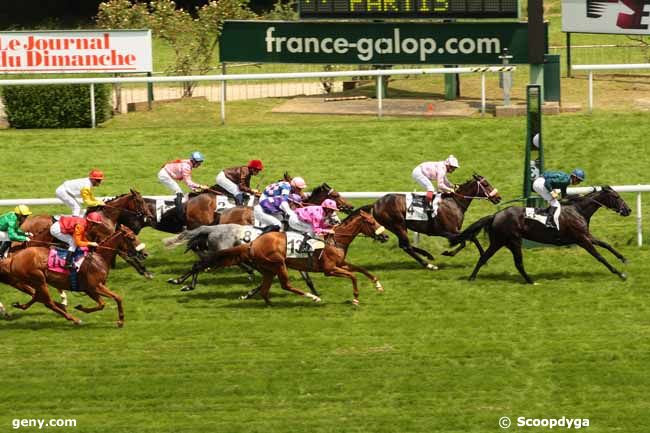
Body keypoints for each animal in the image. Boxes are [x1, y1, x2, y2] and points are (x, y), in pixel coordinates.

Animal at [0, 226, 147, 324]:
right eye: (132, 238)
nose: (144, 253)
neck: (99, 258)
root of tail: (13, 258)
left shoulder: (90, 289)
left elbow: (103, 303)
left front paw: (81, 307)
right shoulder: (94, 287)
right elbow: (114, 299)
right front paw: (120, 320)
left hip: (35, 281)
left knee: (37, 296)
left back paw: (21, 306)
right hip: (38, 279)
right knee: (47, 302)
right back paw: (74, 319)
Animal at [190, 206, 388, 304]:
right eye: (371, 222)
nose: (385, 236)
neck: (336, 240)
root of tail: (253, 243)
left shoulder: (341, 263)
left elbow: (361, 270)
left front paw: (378, 285)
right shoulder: (330, 269)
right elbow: (353, 275)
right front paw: (355, 298)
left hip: (269, 268)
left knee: (265, 289)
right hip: (278, 264)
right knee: (285, 285)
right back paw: (312, 297)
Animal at [370, 173, 502, 268]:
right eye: (485, 184)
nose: (498, 197)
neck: (454, 202)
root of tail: (375, 204)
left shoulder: (455, 231)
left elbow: (472, 238)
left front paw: (484, 259)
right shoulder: (448, 231)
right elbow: (466, 240)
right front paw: (448, 253)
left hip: (399, 227)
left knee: (404, 245)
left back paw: (428, 255)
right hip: (398, 225)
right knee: (406, 246)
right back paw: (428, 264)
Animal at [448, 186, 632, 284]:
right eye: (616, 196)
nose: (628, 210)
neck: (578, 210)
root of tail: (495, 215)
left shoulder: (585, 236)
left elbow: (606, 244)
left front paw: (623, 258)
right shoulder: (582, 239)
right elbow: (599, 256)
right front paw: (620, 273)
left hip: (500, 242)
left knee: (484, 257)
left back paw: (472, 277)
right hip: (512, 240)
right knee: (517, 262)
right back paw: (530, 281)